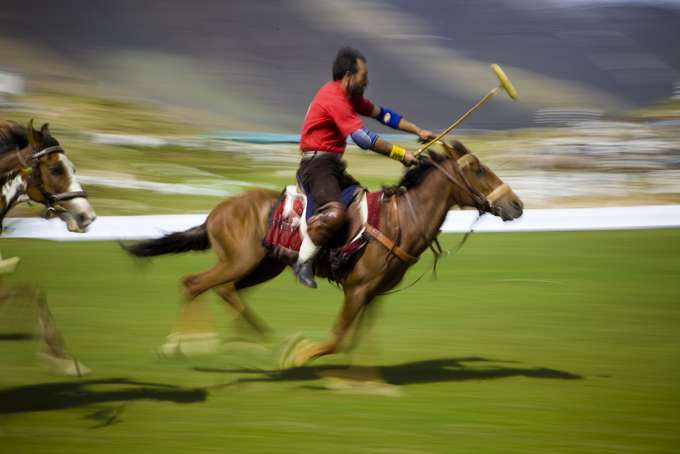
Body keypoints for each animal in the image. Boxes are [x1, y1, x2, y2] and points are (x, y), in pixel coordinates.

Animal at [125, 140, 524, 368]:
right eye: (478, 169)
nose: (516, 205)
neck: (400, 219)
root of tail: (216, 213)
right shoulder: (357, 289)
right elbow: (337, 338)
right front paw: (299, 354)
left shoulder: (374, 293)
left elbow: (358, 339)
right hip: (238, 261)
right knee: (194, 283)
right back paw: (184, 345)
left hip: (264, 265)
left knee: (226, 291)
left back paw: (251, 341)